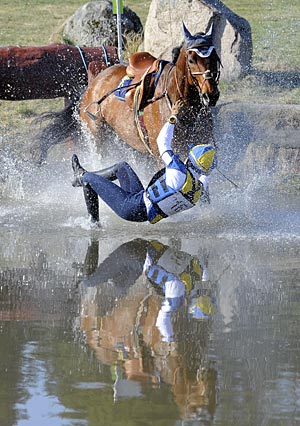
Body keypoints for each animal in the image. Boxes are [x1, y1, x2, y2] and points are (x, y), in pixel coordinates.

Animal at [37, 22, 220, 164]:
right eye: (191, 60)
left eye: (215, 58)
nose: (211, 95)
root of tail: (93, 84)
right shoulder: (163, 156)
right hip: (98, 139)